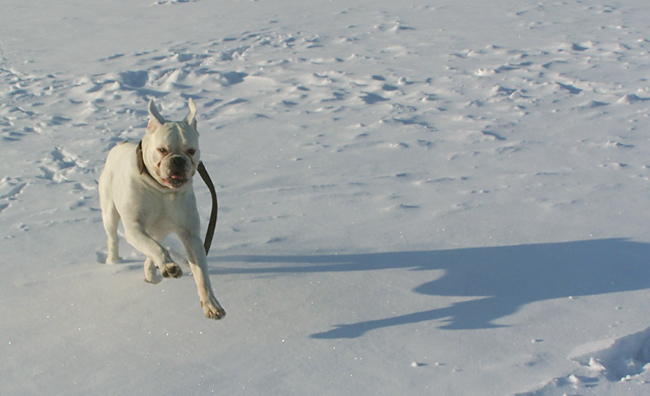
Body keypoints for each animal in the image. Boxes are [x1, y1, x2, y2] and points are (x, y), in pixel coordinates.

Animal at [98, 99, 225, 318]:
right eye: (162, 150)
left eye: (191, 151)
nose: (178, 160)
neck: (161, 190)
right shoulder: (134, 227)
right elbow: (154, 247)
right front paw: (167, 265)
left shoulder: (190, 235)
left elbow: (201, 274)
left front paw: (211, 303)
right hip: (110, 212)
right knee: (114, 238)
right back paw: (114, 262)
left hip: (160, 229)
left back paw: (153, 274)